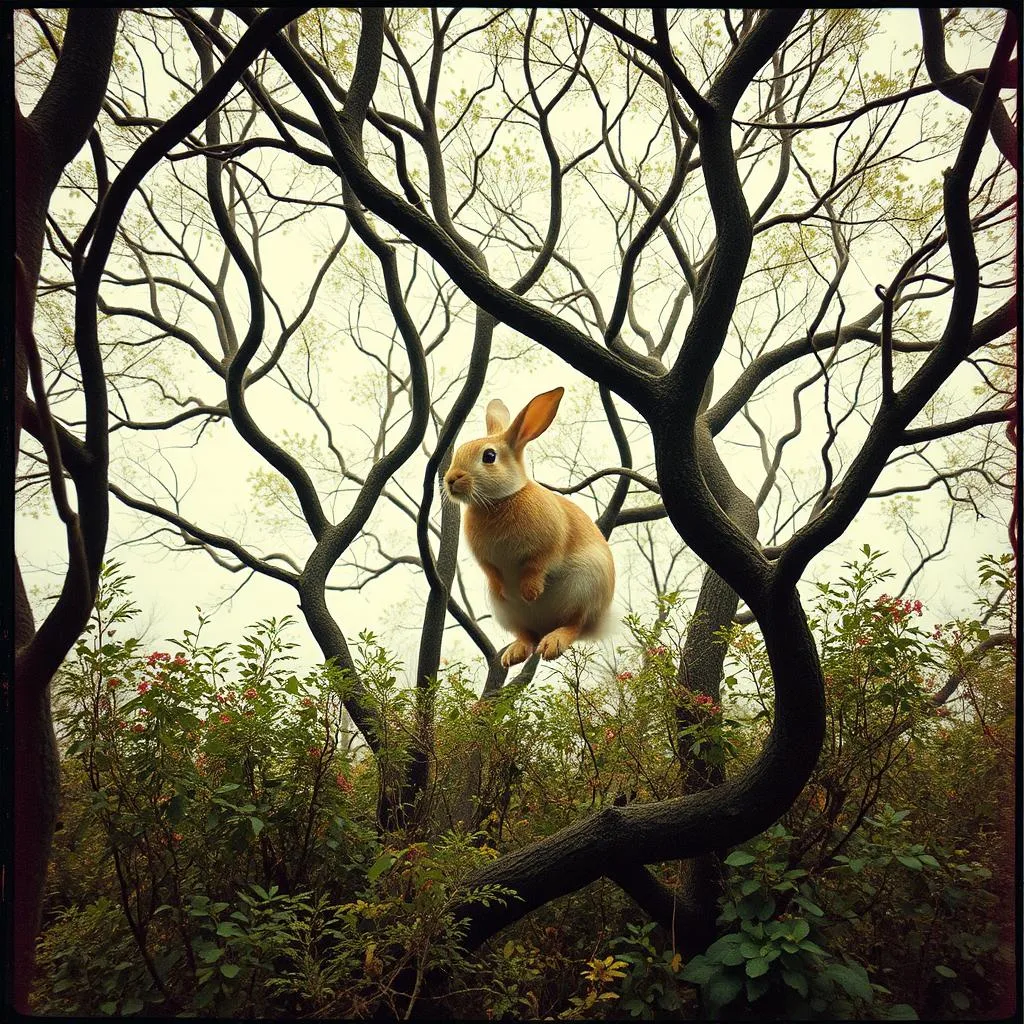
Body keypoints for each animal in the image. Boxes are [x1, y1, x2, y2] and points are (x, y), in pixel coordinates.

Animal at [443, 387, 615, 667]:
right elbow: (492, 571)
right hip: (508, 614)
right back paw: (515, 654)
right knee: (526, 635)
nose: (450, 479)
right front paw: (504, 589)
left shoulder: (550, 543)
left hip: (586, 588)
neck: (500, 500)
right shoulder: (486, 561)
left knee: (575, 625)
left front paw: (531, 592)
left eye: (489, 456)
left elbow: (539, 563)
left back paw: (553, 643)